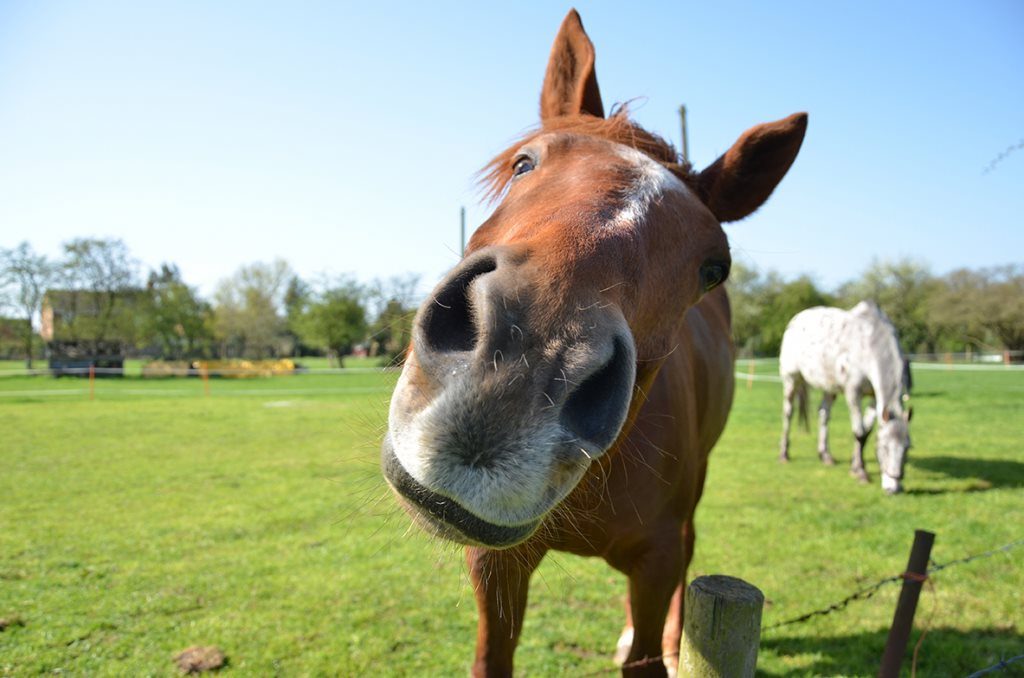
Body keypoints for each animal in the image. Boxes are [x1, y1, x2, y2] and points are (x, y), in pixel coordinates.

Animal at [778, 301, 913, 494]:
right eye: (884, 447)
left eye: (907, 447)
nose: (893, 488)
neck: (869, 343)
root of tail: (795, 320)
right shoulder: (853, 392)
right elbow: (859, 432)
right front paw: (861, 472)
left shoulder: (874, 398)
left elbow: (866, 431)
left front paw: (855, 466)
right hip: (792, 379)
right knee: (788, 413)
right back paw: (783, 454)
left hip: (829, 388)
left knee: (823, 414)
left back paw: (825, 455)